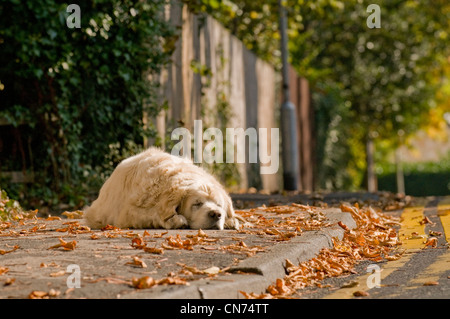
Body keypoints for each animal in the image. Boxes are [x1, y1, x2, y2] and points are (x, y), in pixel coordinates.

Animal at [83, 148, 239, 230]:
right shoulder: (128, 213)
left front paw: (231, 221)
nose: (216, 214)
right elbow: (153, 214)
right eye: (197, 204)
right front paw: (176, 220)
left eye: (219, 205)